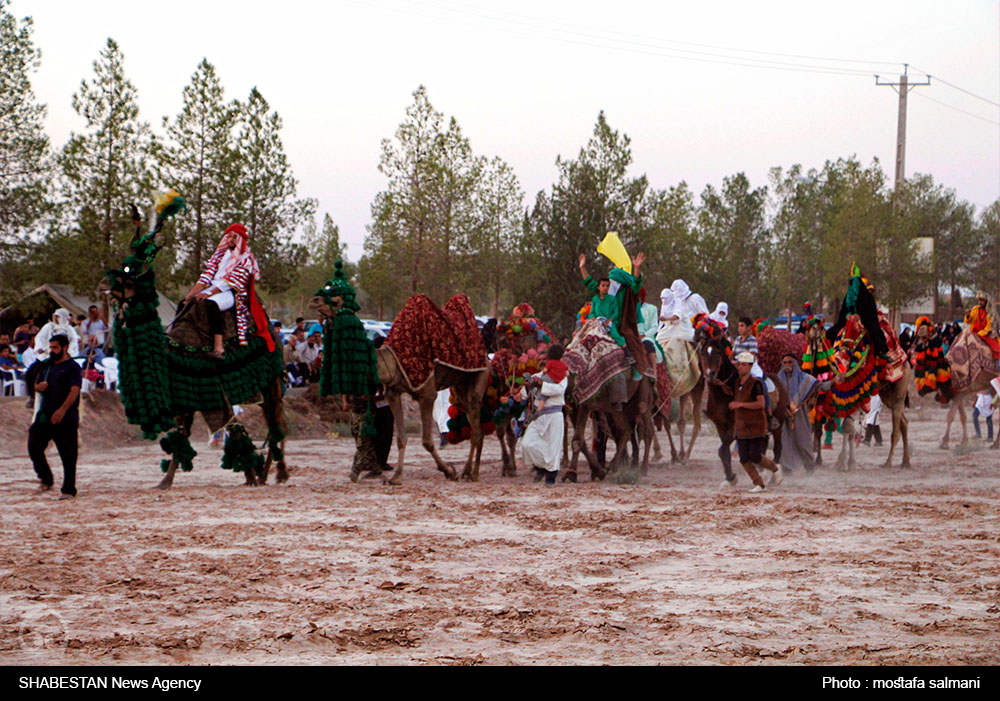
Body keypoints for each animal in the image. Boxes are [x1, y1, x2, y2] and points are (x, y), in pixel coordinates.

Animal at [108, 204, 290, 486]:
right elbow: (184, 434)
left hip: (271, 383)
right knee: (272, 422)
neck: (175, 350)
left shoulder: (206, 393)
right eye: (124, 265)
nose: (111, 287)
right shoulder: (186, 397)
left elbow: (219, 429)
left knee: (276, 421)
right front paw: (165, 482)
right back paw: (264, 474)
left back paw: (278, 472)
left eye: (131, 272)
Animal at [308, 292, 488, 484]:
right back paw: (471, 472)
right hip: (460, 385)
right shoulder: (392, 393)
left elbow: (426, 441)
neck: (392, 361)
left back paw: (470, 473)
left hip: (479, 376)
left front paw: (449, 471)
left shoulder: (427, 393)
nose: (314, 300)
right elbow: (401, 438)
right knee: (475, 426)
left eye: (336, 299)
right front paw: (396, 477)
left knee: (476, 427)